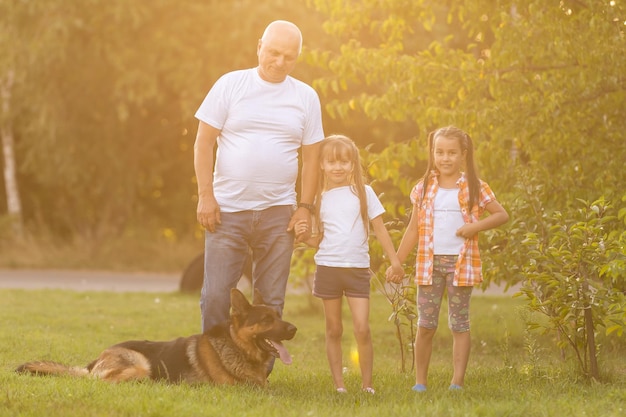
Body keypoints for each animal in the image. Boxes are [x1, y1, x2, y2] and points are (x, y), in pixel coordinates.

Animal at [15, 288, 296, 386]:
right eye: (267, 321)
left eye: (278, 316)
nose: (294, 329)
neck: (237, 347)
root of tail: (94, 362)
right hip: (142, 366)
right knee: (106, 382)